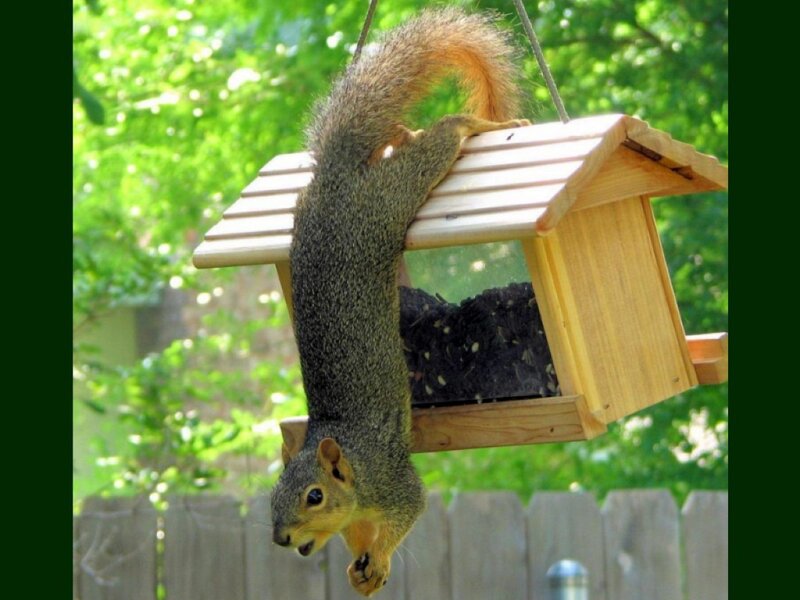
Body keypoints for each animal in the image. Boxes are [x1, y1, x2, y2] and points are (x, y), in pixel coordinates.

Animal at [270, 7, 528, 596]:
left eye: (314, 496)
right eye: (272, 495)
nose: (280, 539)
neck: (355, 471)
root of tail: (331, 179)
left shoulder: (394, 480)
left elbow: (410, 510)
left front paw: (381, 559)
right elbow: (356, 536)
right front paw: (360, 568)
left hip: (389, 198)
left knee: (440, 139)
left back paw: (472, 127)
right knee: (400, 138)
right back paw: (402, 130)